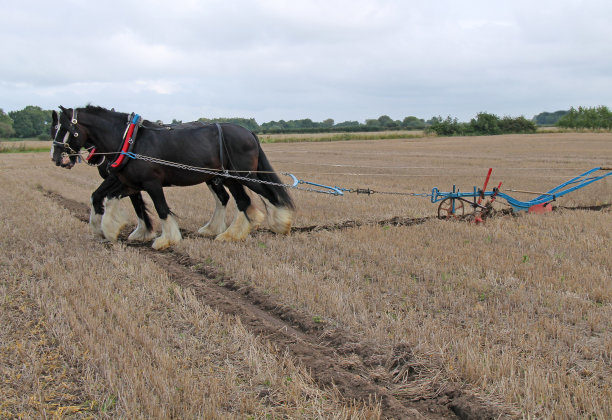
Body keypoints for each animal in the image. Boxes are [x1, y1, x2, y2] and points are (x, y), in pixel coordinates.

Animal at [50, 106, 294, 249]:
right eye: (53, 128)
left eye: (65, 128)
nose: (56, 157)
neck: (131, 140)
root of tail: (249, 133)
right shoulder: (130, 183)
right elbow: (106, 198)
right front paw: (108, 229)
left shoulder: (151, 183)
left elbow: (161, 209)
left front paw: (165, 239)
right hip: (228, 178)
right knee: (242, 201)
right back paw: (229, 234)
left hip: (242, 176)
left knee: (268, 195)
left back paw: (281, 223)